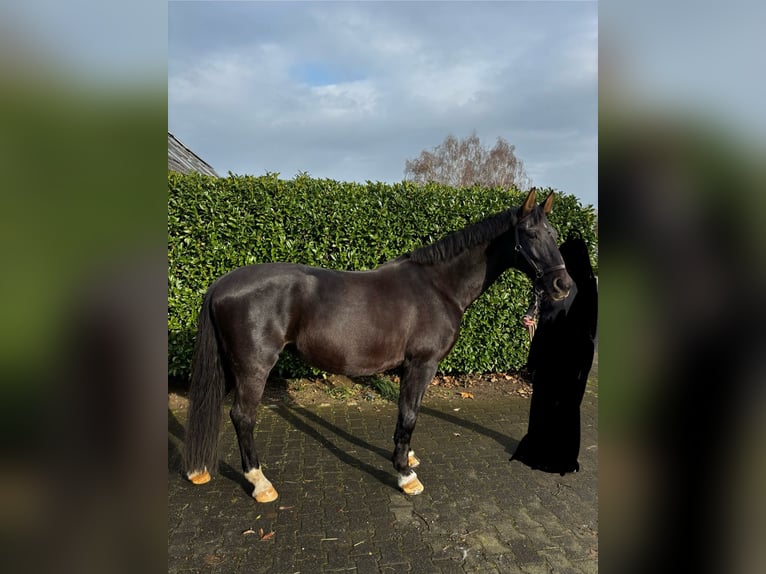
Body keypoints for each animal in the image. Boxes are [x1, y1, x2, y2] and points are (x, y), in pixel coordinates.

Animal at [184, 188, 573, 502]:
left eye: (554, 234)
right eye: (530, 234)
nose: (563, 285)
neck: (439, 286)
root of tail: (220, 284)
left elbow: (407, 414)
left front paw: (407, 456)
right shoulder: (421, 364)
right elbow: (410, 414)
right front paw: (405, 474)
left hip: (230, 366)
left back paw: (199, 469)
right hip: (254, 367)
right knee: (242, 417)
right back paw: (260, 483)